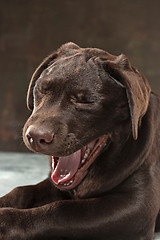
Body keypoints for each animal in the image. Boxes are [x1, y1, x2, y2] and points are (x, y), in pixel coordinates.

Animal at [0, 42, 160, 239]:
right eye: (42, 89)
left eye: (86, 102)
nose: (36, 136)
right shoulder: (54, 185)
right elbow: (22, 191)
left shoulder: (137, 207)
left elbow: (61, 210)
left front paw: (5, 220)